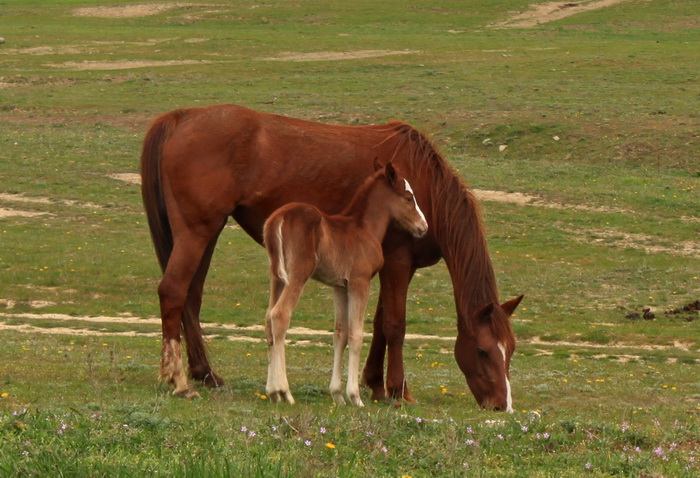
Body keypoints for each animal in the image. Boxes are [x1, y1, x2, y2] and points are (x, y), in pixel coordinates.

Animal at [263, 161, 428, 406]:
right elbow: (356, 335)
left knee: (268, 319)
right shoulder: (360, 283)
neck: (364, 229)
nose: (423, 227)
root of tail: (278, 219)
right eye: (408, 198)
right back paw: (284, 391)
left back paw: (272, 391)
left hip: (277, 277)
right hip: (298, 275)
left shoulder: (340, 287)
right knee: (280, 315)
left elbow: (340, 334)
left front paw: (337, 394)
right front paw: (355, 396)